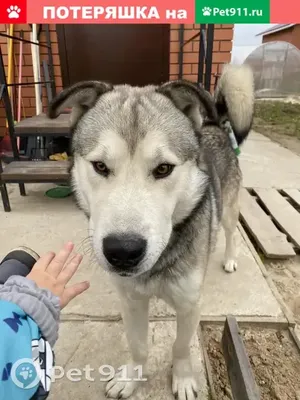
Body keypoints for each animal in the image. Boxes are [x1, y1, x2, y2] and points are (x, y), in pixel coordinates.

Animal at [48, 64, 253, 398]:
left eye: (163, 169)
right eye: (100, 166)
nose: (123, 252)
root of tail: (214, 124)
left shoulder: (189, 303)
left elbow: (181, 346)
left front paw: (183, 379)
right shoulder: (131, 301)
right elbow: (138, 345)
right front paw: (132, 377)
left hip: (230, 208)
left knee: (230, 231)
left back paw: (230, 258)